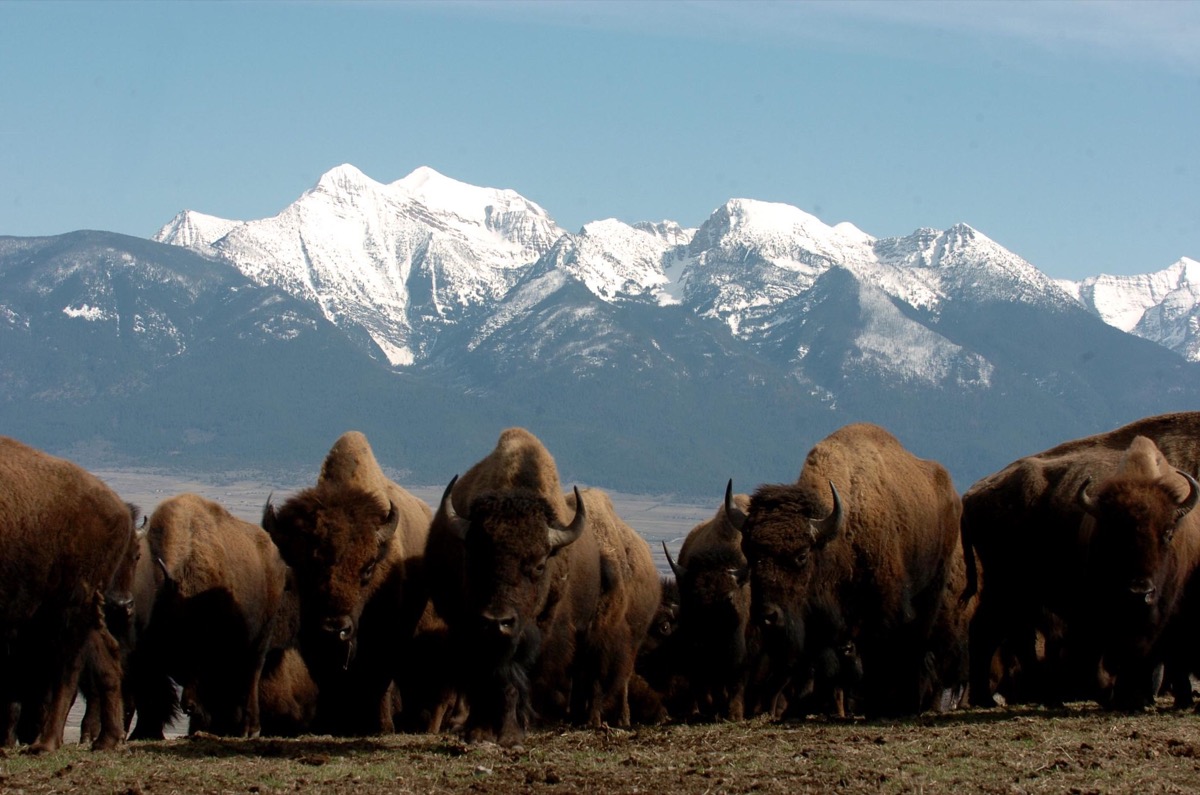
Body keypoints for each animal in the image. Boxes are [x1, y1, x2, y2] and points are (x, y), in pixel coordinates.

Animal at [0, 437, 138, 754]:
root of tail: (117, 509)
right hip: (80, 611)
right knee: (106, 653)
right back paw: (106, 740)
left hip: (70, 608)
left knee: (67, 670)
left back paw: (45, 744)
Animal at [261, 432, 432, 739]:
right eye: (304, 568)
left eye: (368, 568)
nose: (335, 628)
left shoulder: (386, 637)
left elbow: (378, 681)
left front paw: (380, 727)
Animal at [429, 429, 662, 749]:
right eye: (474, 558)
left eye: (539, 565)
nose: (498, 622)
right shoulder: (469, 627)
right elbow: (483, 676)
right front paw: (477, 732)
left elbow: (518, 679)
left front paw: (512, 734)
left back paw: (590, 721)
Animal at [734, 422, 960, 715]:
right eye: (749, 553)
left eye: (801, 555)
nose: (767, 616)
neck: (836, 536)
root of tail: (950, 492)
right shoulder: (821, 622)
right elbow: (826, 665)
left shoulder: (884, 610)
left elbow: (880, 657)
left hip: (932, 588)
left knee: (916, 644)